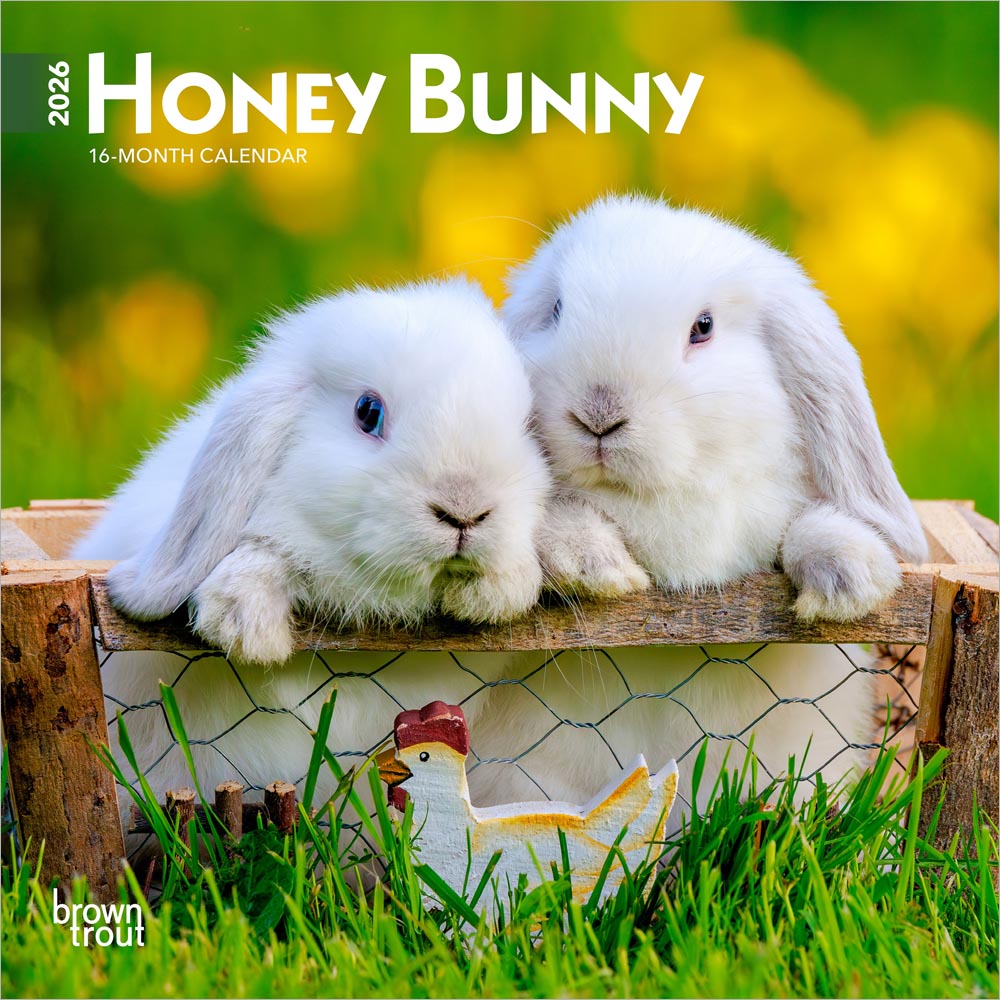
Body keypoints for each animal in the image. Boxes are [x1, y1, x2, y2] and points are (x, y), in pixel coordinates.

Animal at [73, 278, 551, 842]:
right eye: (368, 412)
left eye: (526, 426)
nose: (464, 510)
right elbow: (267, 552)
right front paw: (244, 625)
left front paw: (496, 591)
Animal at [466, 194, 928, 828]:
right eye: (556, 310)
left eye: (703, 328)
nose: (598, 413)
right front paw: (600, 570)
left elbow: (802, 531)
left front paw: (848, 583)